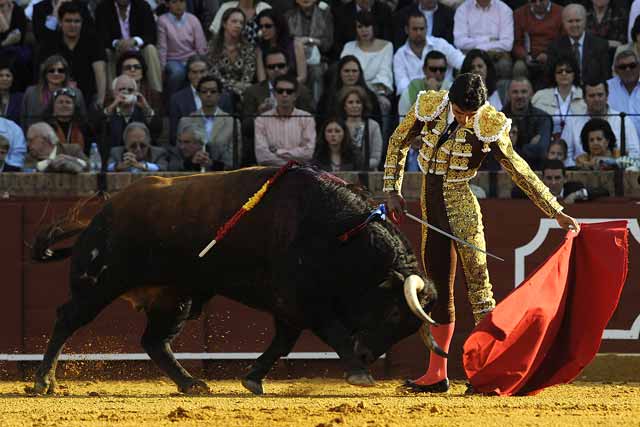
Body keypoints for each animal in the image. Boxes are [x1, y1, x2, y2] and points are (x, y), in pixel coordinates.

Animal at [30, 166, 442, 394]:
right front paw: (358, 373)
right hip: (100, 283)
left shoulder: (289, 309)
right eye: (393, 314)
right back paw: (44, 382)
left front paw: (253, 379)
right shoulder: (302, 301)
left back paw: (191, 384)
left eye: (409, 328)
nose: (368, 355)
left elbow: (282, 344)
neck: (339, 233)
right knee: (68, 318)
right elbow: (331, 332)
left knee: (154, 341)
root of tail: (105, 211)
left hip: (175, 298)